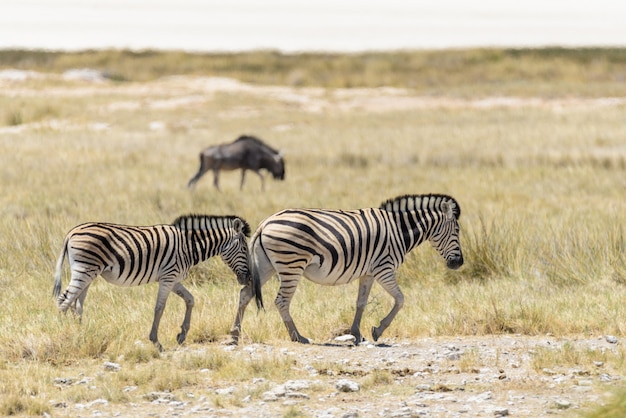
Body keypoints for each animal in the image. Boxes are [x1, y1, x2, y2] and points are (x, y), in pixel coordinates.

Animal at [51, 216, 250, 350]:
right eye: (244, 248)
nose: (247, 278)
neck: (189, 247)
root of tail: (71, 232)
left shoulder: (174, 279)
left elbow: (190, 300)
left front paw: (182, 335)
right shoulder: (168, 277)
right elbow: (159, 308)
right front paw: (156, 342)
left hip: (89, 272)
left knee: (77, 304)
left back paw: (80, 333)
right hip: (84, 269)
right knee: (64, 301)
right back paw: (65, 336)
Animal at [227, 194, 460, 344]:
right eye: (456, 230)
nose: (458, 263)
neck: (398, 230)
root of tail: (265, 223)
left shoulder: (368, 272)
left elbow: (361, 303)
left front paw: (357, 333)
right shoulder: (384, 268)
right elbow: (400, 299)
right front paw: (378, 330)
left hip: (266, 266)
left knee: (245, 293)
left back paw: (235, 334)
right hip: (291, 265)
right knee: (281, 301)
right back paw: (297, 337)